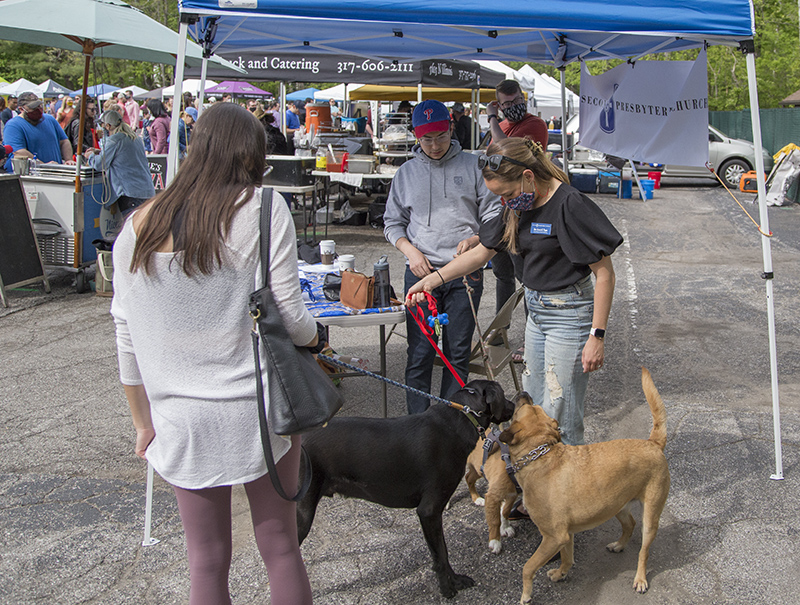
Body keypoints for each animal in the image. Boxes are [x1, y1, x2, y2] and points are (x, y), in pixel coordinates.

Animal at [296, 380, 516, 596]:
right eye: (502, 394)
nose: (513, 404)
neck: (461, 416)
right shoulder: (429, 511)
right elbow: (441, 554)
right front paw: (448, 589)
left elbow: (441, 552)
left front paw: (453, 582)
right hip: (302, 515)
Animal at [500, 366, 668, 600]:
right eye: (534, 406)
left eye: (521, 409)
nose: (523, 393)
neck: (540, 454)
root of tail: (653, 443)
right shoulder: (565, 535)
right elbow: (567, 558)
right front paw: (561, 573)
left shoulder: (553, 537)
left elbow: (528, 567)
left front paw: (526, 595)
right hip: (617, 506)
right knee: (630, 525)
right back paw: (618, 545)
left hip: (650, 517)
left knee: (644, 551)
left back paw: (640, 579)